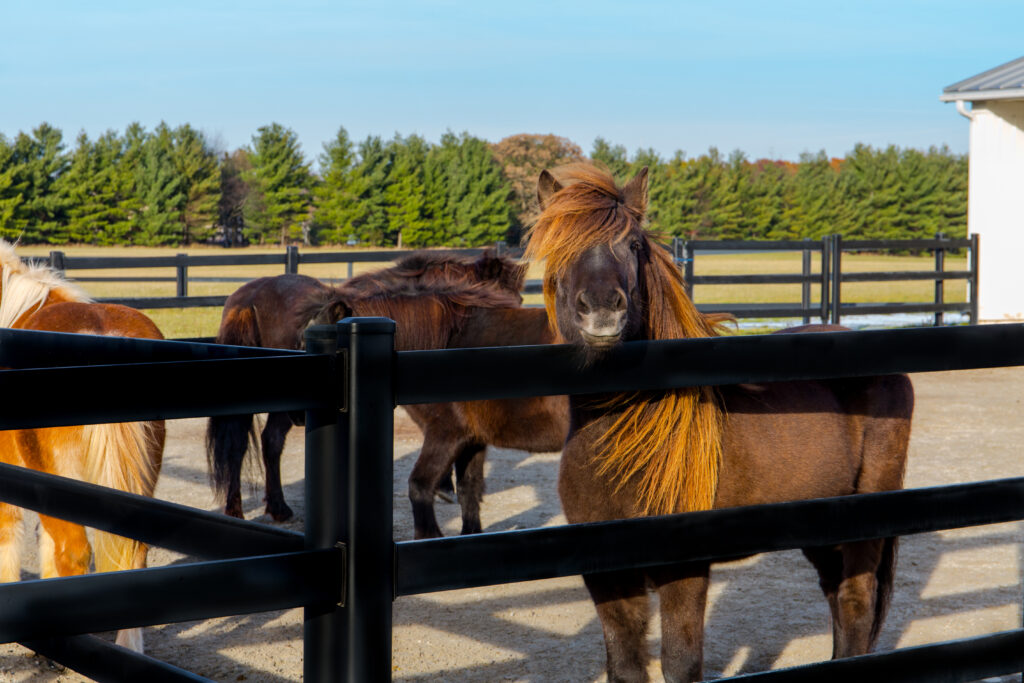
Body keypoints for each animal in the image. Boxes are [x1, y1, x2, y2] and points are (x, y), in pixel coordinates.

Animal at [203, 248, 565, 536]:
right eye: (510, 298)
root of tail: (248, 298)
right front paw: (443, 488)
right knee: (251, 443)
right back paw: (252, 509)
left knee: (259, 442)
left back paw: (260, 509)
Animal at [528, 165, 913, 683]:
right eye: (558, 247)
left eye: (633, 244)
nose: (603, 307)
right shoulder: (607, 574)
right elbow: (625, 665)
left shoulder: (684, 568)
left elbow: (680, 663)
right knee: (837, 597)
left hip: (867, 513)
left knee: (855, 602)